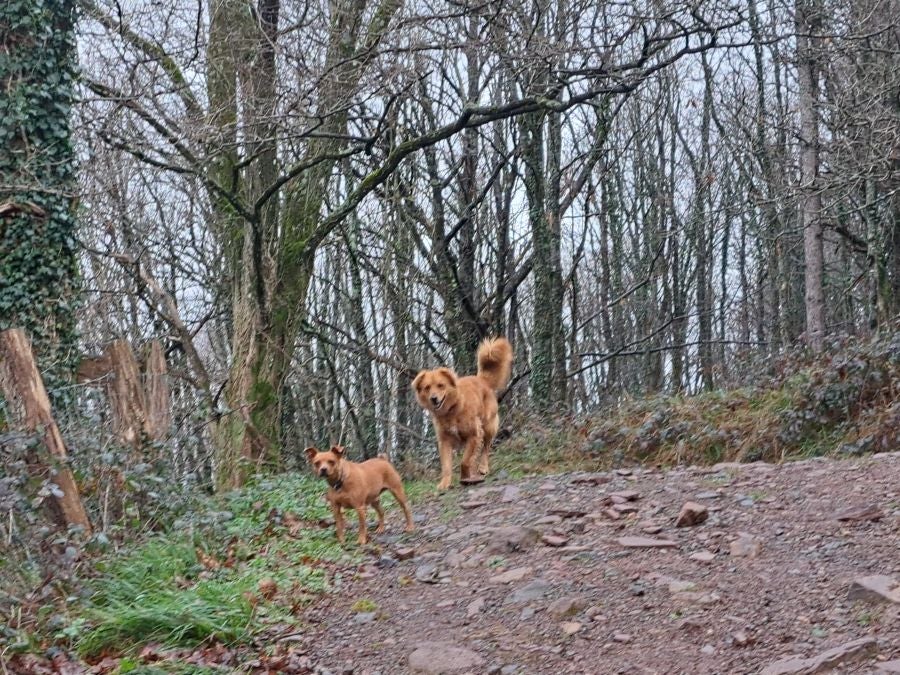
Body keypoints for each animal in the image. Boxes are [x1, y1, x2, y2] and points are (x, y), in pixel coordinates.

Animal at [414, 338, 512, 492]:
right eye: (427, 387)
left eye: (441, 385)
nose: (433, 398)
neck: (451, 411)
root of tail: (482, 379)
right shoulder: (444, 441)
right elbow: (447, 466)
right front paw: (445, 483)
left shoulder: (474, 435)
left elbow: (465, 461)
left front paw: (466, 476)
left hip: (489, 426)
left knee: (486, 447)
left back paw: (483, 467)